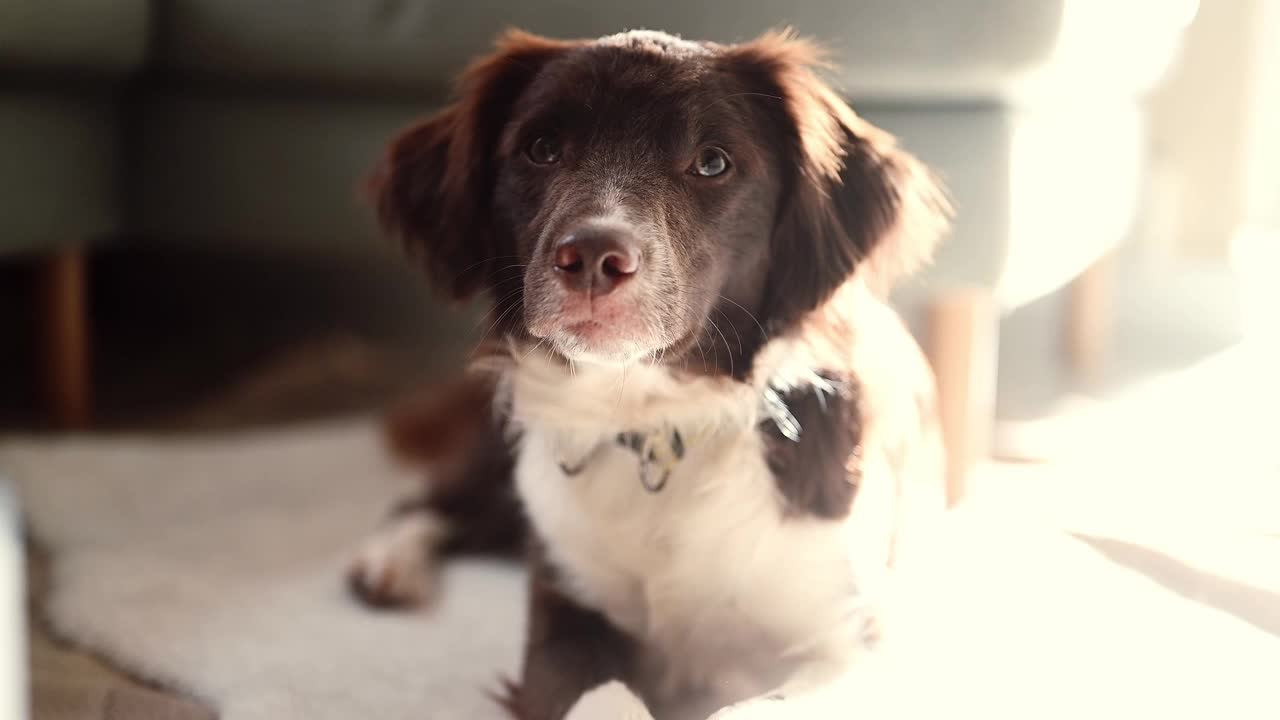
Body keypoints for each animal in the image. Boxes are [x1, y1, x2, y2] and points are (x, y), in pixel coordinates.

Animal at [350, 28, 952, 717]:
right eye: (541, 148)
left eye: (713, 162)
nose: (590, 257)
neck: (655, 419)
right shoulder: (564, 614)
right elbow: (606, 695)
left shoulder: (856, 640)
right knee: (432, 499)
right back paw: (388, 562)